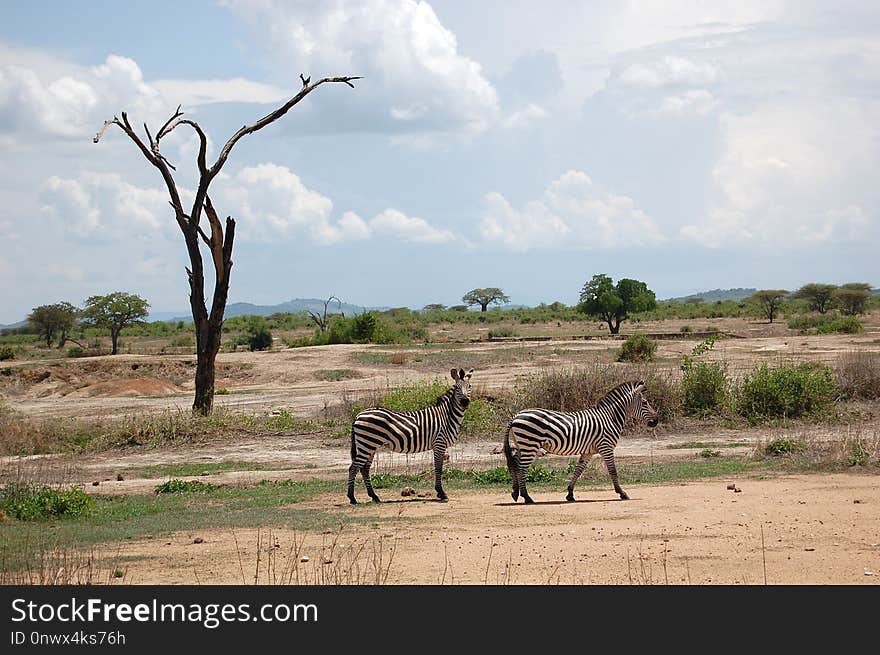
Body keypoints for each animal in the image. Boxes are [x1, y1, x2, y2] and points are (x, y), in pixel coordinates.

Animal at [348, 366, 478, 504]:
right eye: (457, 387)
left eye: (469, 386)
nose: (464, 402)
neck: (447, 415)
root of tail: (358, 415)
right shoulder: (439, 443)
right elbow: (438, 468)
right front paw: (441, 493)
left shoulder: (439, 444)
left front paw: (439, 492)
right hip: (367, 444)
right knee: (354, 468)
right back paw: (352, 498)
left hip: (370, 445)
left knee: (364, 469)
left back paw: (374, 496)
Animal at [502, 382, 660, 504]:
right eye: (645, 403)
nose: (656, 421)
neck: (610, 418)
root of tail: (516, 416)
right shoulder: (606, 447)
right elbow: (613, 471)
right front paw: (622, 493)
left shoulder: (588, 451)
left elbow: (578, 471)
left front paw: (570, 494)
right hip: (530, 444)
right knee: (521, 467)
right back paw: (526, 497)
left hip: (522, 445)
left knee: (514, 463)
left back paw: (515, 493)